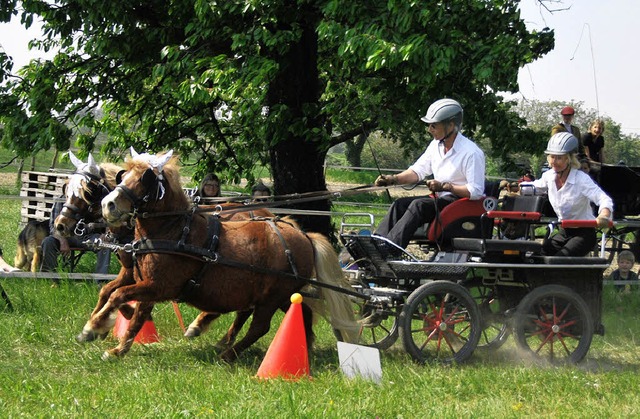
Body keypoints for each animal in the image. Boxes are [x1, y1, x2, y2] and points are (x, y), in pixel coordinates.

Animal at [77, 150, 358, 360]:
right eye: (123, 175)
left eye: (145, 177)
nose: (109, 205)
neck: (173, 230)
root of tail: (304, 235)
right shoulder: (140, 279)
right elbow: (118, 299)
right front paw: (105, 335)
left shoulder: (158, 286)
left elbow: (124, 301)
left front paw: (102, 334)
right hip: (278, 294)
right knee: (300, 314)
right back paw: (300, 348)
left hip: (273, 296)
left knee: (260, 326)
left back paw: (229, 353)